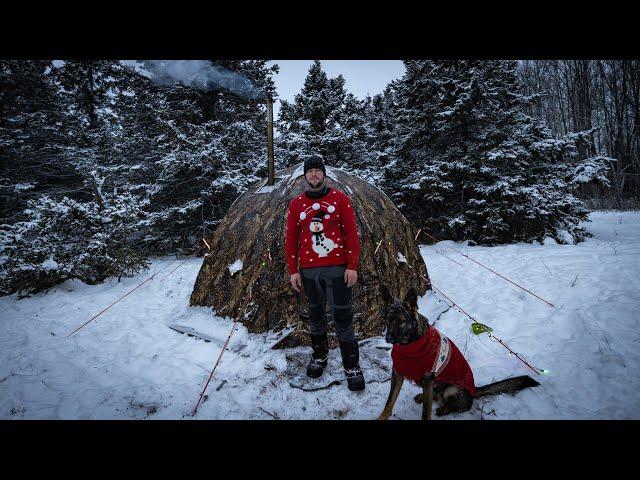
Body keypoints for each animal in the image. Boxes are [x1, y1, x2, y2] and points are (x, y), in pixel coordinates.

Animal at [378, 284, 544, 420]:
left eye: (401, 321)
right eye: (387, 320)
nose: (388, 338)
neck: (409, 345)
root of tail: (474, 390)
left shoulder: (427, 378)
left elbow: (426, 413)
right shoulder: (397, 374)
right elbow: (389, 403)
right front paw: (381, 418)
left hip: (451, 388)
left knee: (462, 406)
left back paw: (444, 409)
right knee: (434, 397)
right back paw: (423, 397)